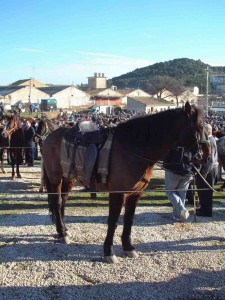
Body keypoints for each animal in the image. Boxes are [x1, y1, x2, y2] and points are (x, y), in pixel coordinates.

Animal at [41, 102, 211, 262]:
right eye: (200, 126)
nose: (207, 154)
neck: (132, 148)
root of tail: (52, 134)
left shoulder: (135, 193)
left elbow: (129, 220)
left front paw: (128, 247)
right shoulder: (118, 193)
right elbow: (113, 221)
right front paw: (109, 252)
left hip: (68, 178)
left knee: (62, 202)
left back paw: (62, 230)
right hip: (55, 178)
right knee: (56, 202)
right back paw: (62, 233)